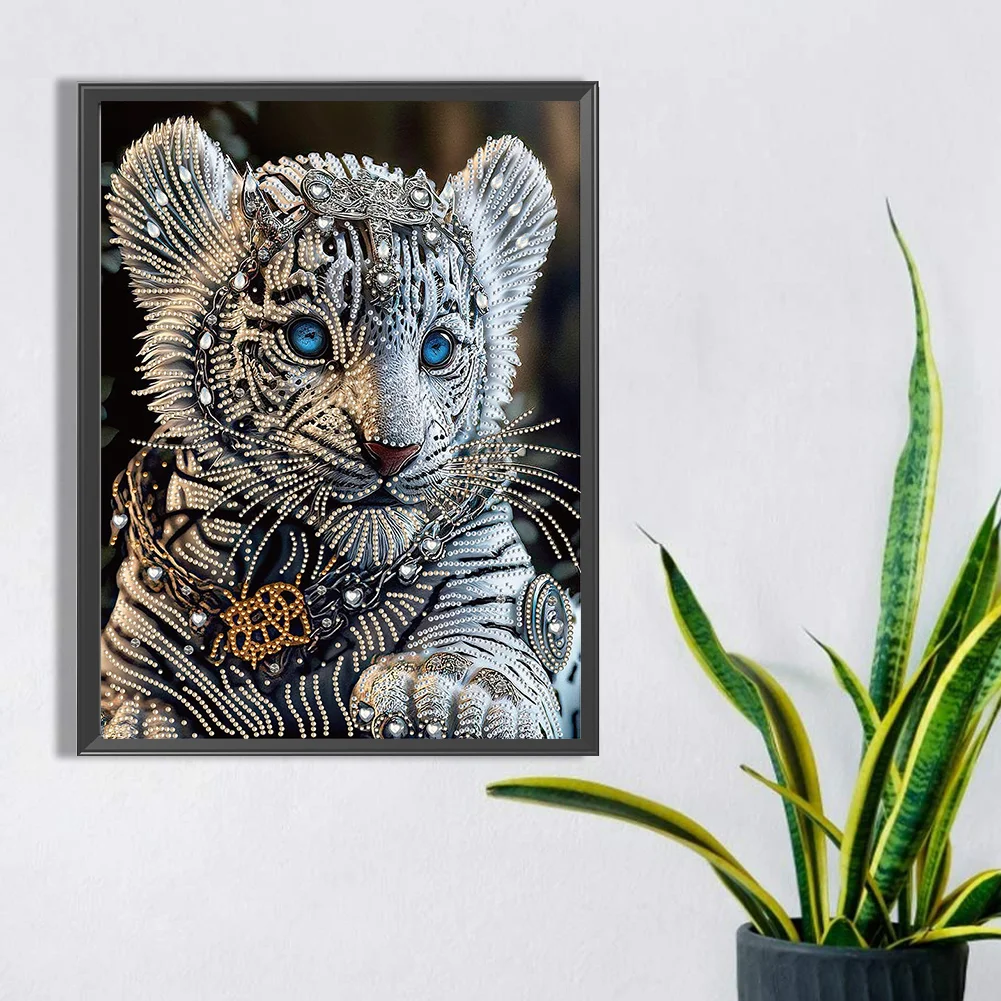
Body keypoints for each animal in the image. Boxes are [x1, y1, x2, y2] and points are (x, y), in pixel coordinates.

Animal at [99, 117, 579, 741]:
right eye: (307, 338)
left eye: (438, 348)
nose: (392, 452)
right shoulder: (133, 675)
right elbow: (143, 715)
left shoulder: (495, 603)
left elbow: (488, 656)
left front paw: (445, 695)